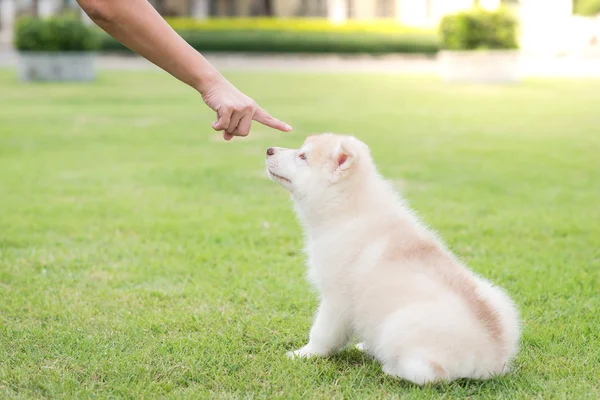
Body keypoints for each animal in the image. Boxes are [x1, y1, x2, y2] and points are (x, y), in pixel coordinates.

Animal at [264, 134, 516, 384]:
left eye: (302, 156)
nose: (269, 150)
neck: (348, 210)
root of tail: (493, 358)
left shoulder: (336, 299)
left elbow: (322, 334)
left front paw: (304, 353)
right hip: (499, 299)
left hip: (400, 324)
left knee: (432, 374)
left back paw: (392, 369)